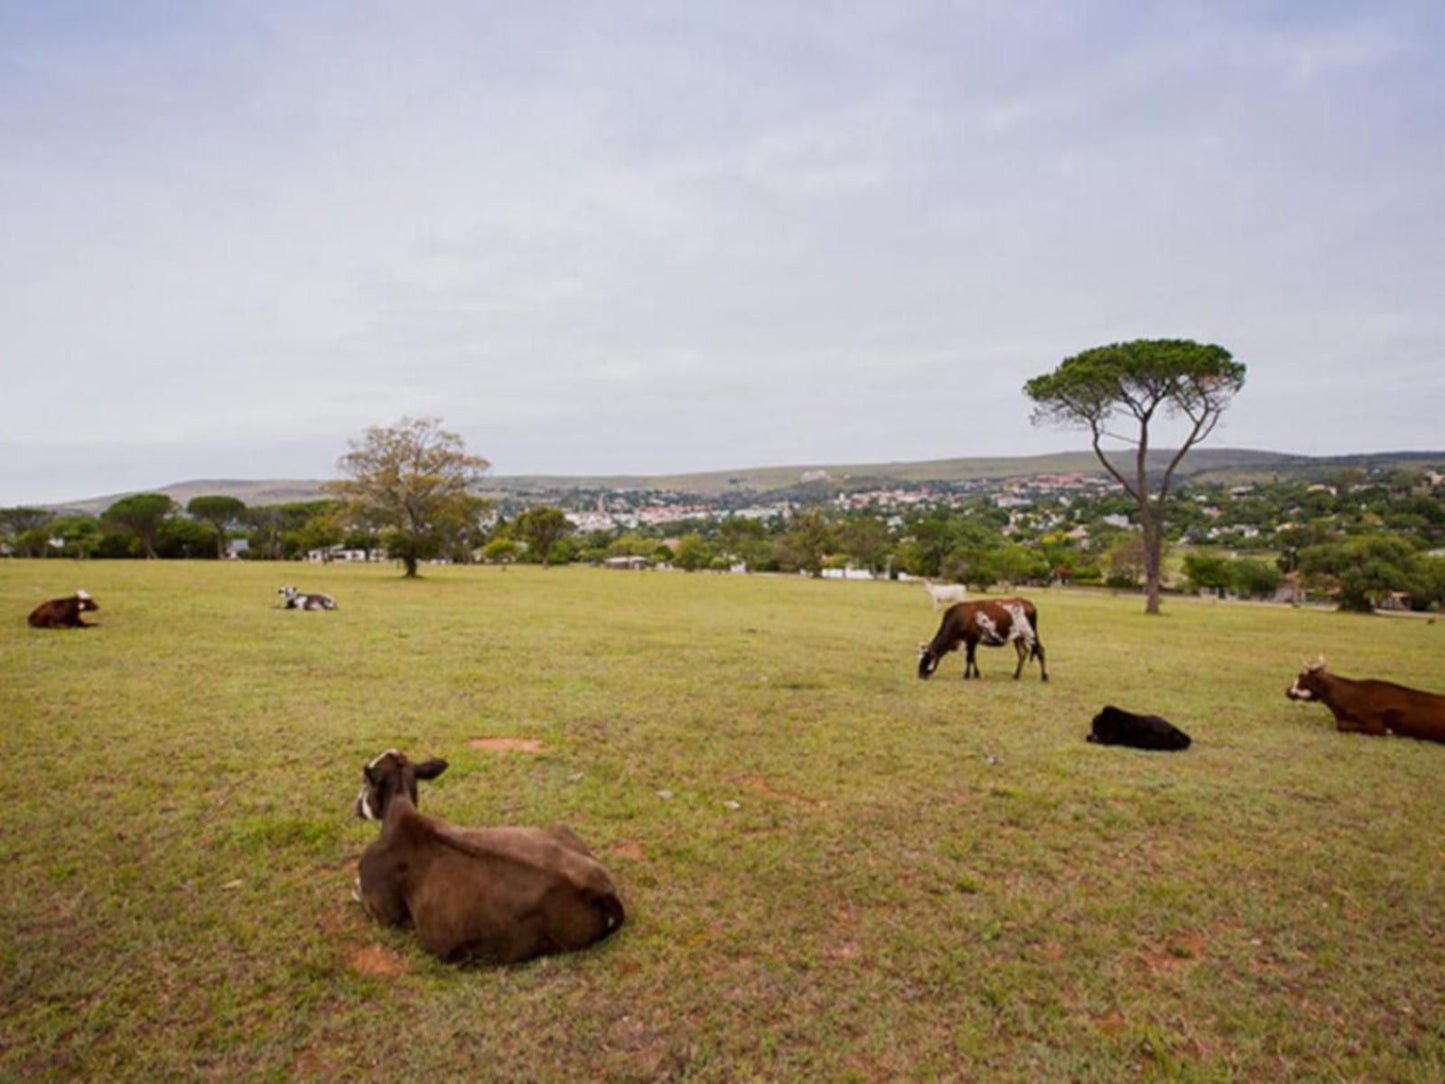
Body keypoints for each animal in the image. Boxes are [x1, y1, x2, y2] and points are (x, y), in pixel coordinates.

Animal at [913, 604, 1051, 679]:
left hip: (1031, 634)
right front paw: (976, 674)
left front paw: (966, 675)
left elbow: (969, 658)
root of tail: (1029, 605)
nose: (920, 675)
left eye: (926, 659)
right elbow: (973, 658)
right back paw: (1016, 675)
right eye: (919, 659)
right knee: (1023, 653)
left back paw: (1044, 676)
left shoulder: (971, 640)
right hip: (1018, 637)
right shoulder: (971, 642)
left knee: (1040, 651)